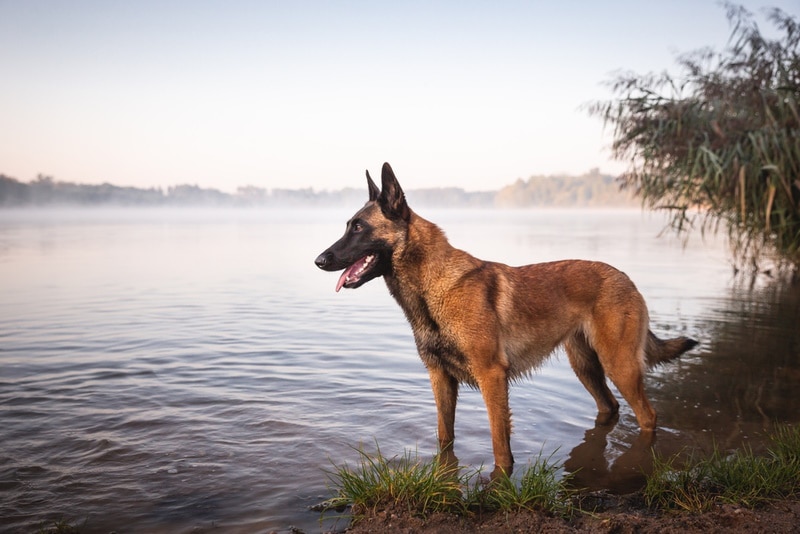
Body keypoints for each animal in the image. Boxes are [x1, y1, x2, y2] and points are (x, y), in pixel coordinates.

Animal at [316, 162, 696, 478]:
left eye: (358, 228)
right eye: (349, 227)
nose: (319, 260)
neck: (433, 288)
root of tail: (625, 278)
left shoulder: (492, 377)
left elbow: (500, 444)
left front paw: (501, 478)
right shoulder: (440, 378)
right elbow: (444, 436)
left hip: (619, 366)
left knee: (647, 416)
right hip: (586, 367)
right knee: (610, 407)